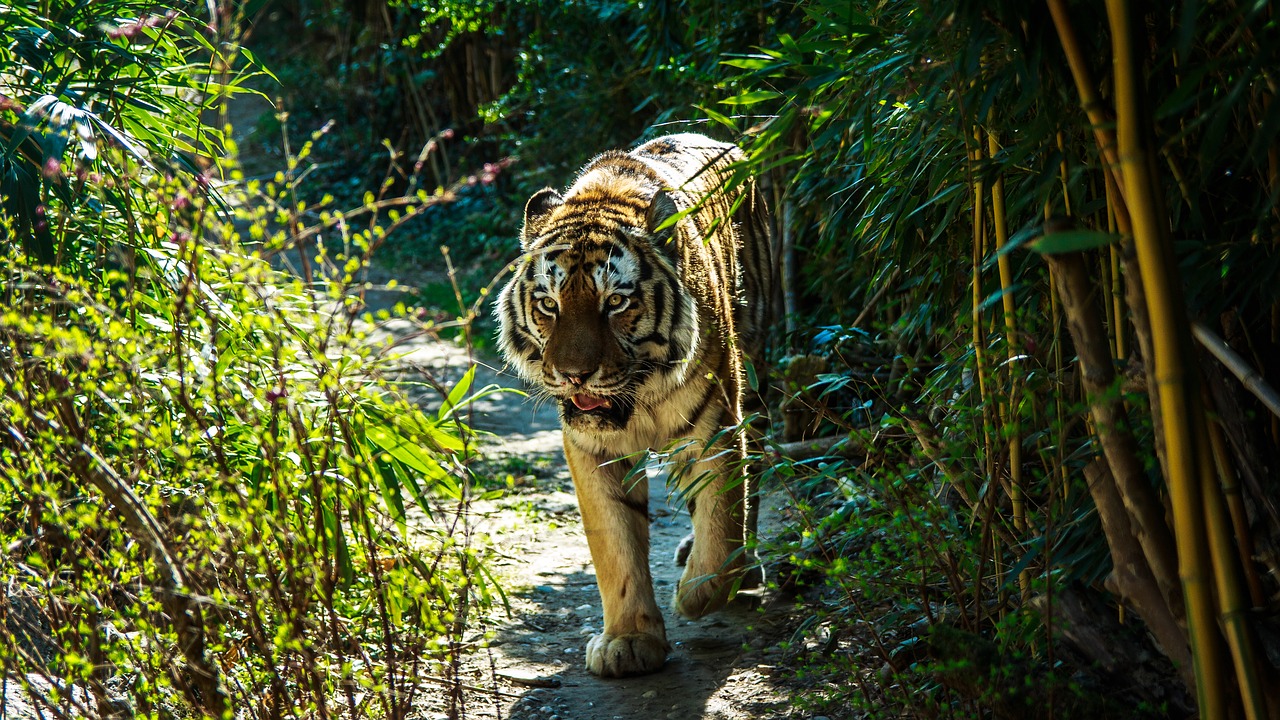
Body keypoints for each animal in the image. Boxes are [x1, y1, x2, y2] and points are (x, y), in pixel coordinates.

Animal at [488, 131, 768, 676]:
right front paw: (630, 641)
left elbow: (721, 522)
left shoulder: (716, 427)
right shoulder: (591, 449)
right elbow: (614, 543)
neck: (640, 400)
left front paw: (697, 594)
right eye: (549, 305)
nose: (574, 375)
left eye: (615, 302)